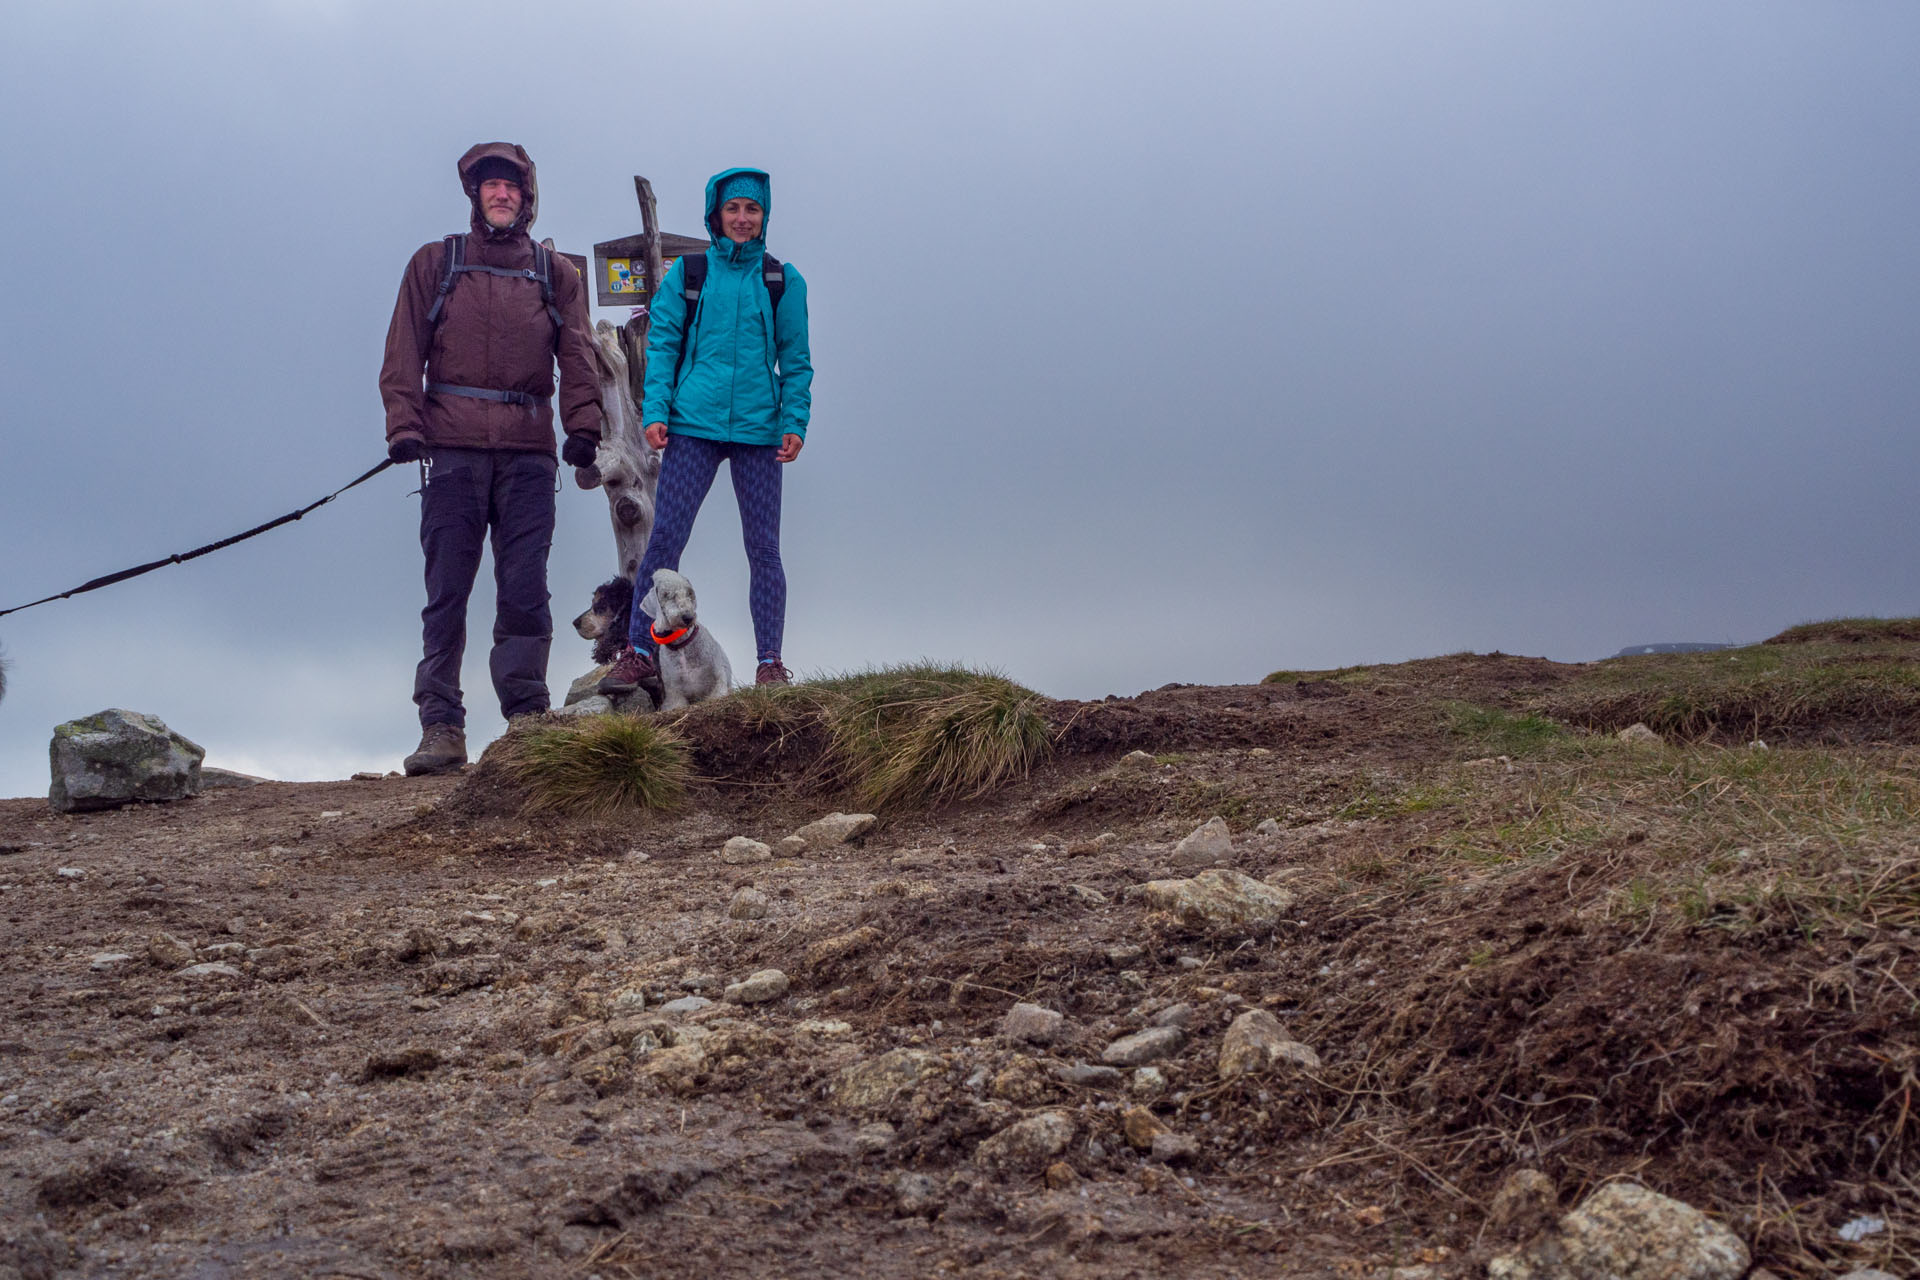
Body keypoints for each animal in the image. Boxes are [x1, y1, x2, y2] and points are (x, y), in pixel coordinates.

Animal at [645, 571, 733, 710]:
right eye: (666, 595)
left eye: (689, 593)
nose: (688, 617)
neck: (682, 645)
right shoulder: (674, 694)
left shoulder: (718, 681)